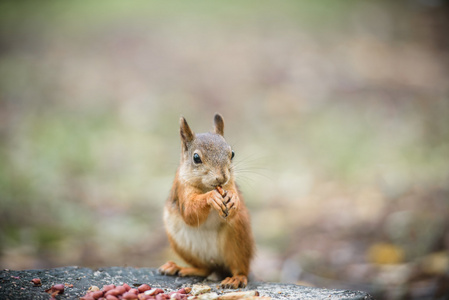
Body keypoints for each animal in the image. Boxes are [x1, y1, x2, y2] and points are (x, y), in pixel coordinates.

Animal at [159, 114, 254, 288]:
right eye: (196, 158)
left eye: (232, 153)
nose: (222, 177)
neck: (206, 187)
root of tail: (217, 264)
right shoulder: (182, 188)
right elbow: (190, 213)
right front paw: (211, 197)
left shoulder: (230, 185)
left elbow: (233, 208)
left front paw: (233, 198)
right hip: (183, 245)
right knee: (205, 269)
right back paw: (179, 268)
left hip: (238, 238)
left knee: (239, 268)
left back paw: (236, 278)